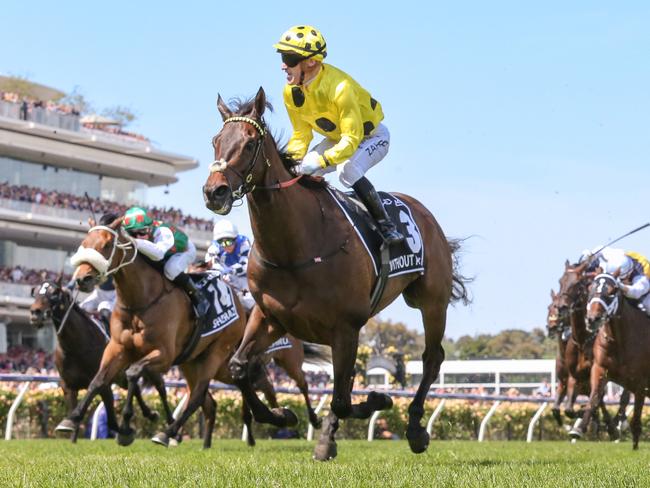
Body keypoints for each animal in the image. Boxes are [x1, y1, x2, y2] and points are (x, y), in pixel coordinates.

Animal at [28, 276, 172, 440]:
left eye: (54, 293)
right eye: (35, 293)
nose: (35, 313)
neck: (76, 346)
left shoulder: (105, 385)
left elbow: (112, 421)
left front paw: (126, 432)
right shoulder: (68, 386)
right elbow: (74, 419)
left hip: (151, 366)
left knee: (161, 389)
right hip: (122, 376)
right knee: (135, 389)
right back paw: (150, 414)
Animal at [62, 217, 294, 450]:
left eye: (107, 244)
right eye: (84, 243)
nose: (82, 279)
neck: (141, 301)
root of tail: (237, 300)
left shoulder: (164, 355)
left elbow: (133, 373)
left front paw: (127, 426)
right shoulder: (118, 348)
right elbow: (98, 381)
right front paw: (71, 419)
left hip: (217, 353)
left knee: (199, 395)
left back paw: (167, 433)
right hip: (193, 361)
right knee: (221, 392)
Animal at [201, 89, 466, 460]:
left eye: (250, 143)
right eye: (216, 141)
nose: (215, 192)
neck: (293, 248)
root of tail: (425, 214)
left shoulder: (346, 326)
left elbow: (342, 399)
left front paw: (379, 399)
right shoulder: (271, 318)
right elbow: (241, 368)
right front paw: (283, 415)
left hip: (431, 301)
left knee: (431, 358)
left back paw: (415, 429)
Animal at [568, 272, 644, 448]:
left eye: (612, 291)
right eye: (589, 289)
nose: (593, 319)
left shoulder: (637, 377)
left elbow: (624, 399)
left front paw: (617, 426)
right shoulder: (598, 368)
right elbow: (594, 397)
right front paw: (580, 427)